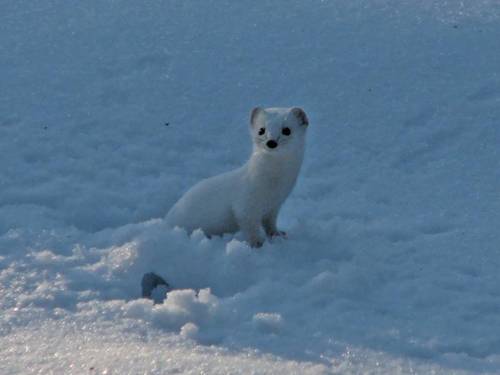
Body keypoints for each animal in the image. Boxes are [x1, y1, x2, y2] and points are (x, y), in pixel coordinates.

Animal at [166, 107, 306, 248]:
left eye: (287, 130)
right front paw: (257, 243)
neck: (274, 187)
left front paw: (278, 234)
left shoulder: (275, 206)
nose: (271, 142)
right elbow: (249, 225)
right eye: (261, 130)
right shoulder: (245, 204)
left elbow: (270, 223)